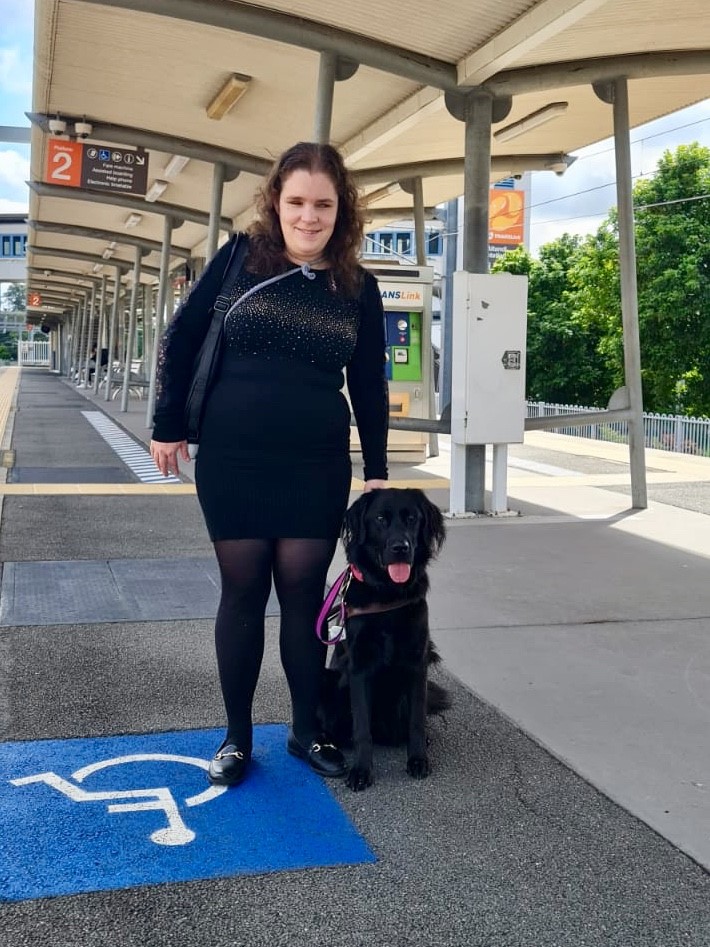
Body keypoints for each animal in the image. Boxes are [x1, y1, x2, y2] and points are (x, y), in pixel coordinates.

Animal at [322, 488, 450, 792]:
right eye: (380, 519)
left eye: (412, 518)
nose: (401, 547)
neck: (387, 593)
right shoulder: (358, 668)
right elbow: (362, 727)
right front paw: (361, 770)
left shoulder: (417, 663)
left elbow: (417, 721)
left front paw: (418, 759)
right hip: (331, 682)